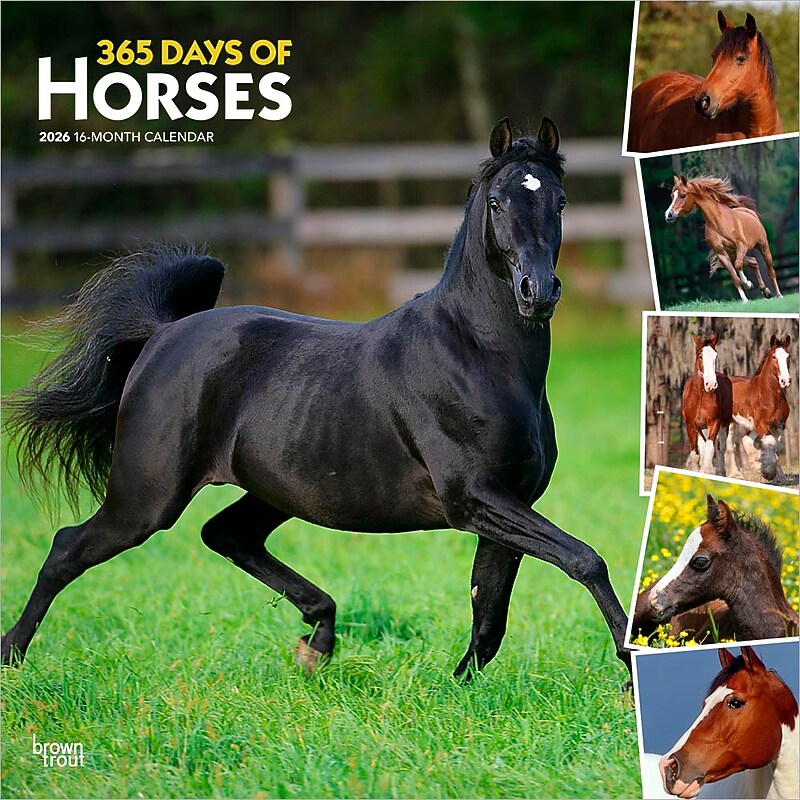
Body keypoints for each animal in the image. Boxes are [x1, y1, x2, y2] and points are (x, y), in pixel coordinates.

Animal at [0, 118, 633, 681]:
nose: (537, 291)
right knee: (68, 548)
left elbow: (489, 615)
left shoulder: (508, 500)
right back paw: (12, 655)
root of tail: (162, 335)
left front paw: (455, 689)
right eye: (498, 203)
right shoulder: (474, 497)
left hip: (275, 490)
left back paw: (318, 640)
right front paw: (630, 672)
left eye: (559, 201)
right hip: (147, 497)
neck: (477, 353)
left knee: (226, 535)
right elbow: (584, 559)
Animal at [665, 175, 782, 303]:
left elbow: (738, 265)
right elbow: (735, 278)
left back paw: (778, 294)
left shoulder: (741, 245)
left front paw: (747, 284)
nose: (668, 215)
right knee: (754, 262)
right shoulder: (722, 254)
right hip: (733, 254)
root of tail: (749, 212)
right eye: (672, 196)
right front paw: (745, 299)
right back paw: (765, 291)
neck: (718, 222)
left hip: (763, 247)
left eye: (683, 195)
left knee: (771, 271)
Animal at [681, 335, 732, 475]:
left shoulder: (715, 422)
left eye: (716, 356)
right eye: (700, 356)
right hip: (701, 428)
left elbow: (710, 448)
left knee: (721, 447)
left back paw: (720, 471)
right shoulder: (691, 426)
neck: (700, 396)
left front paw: (707, 471)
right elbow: (695, 453)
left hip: (725, 423)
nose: (711, 384)